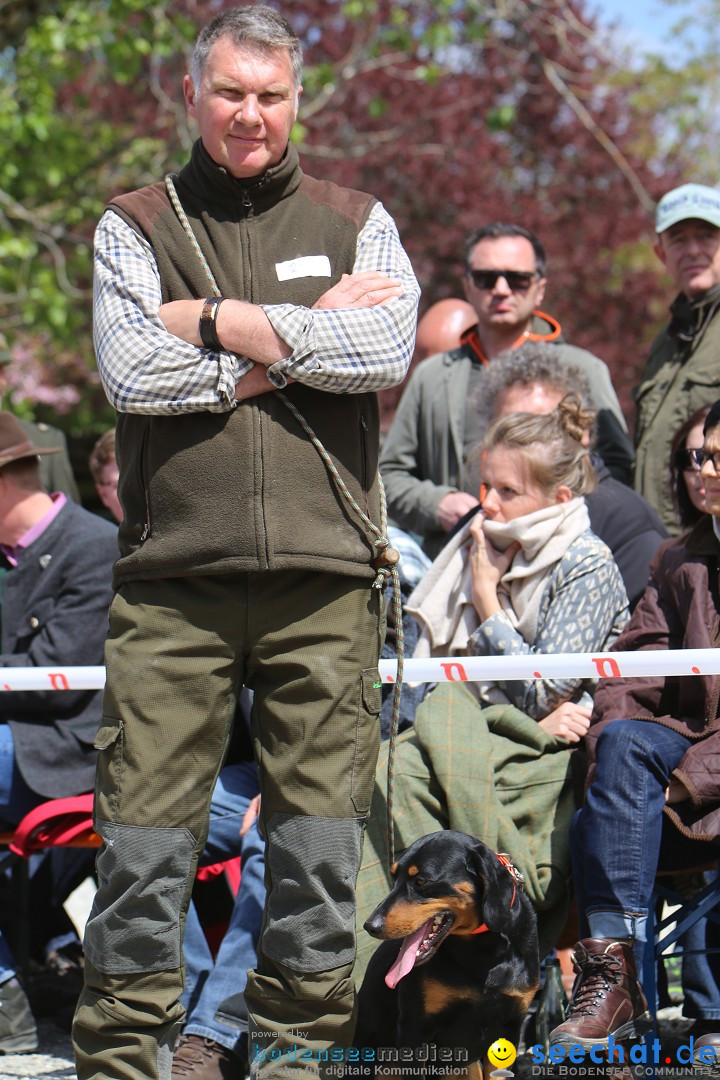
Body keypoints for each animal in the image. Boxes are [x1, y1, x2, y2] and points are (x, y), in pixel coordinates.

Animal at [349, 829, 539, 1075]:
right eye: (394, 878)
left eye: (421, 880)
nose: (370, 926)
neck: (482, 953)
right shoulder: (414, 1028)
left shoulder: (511, 1027)